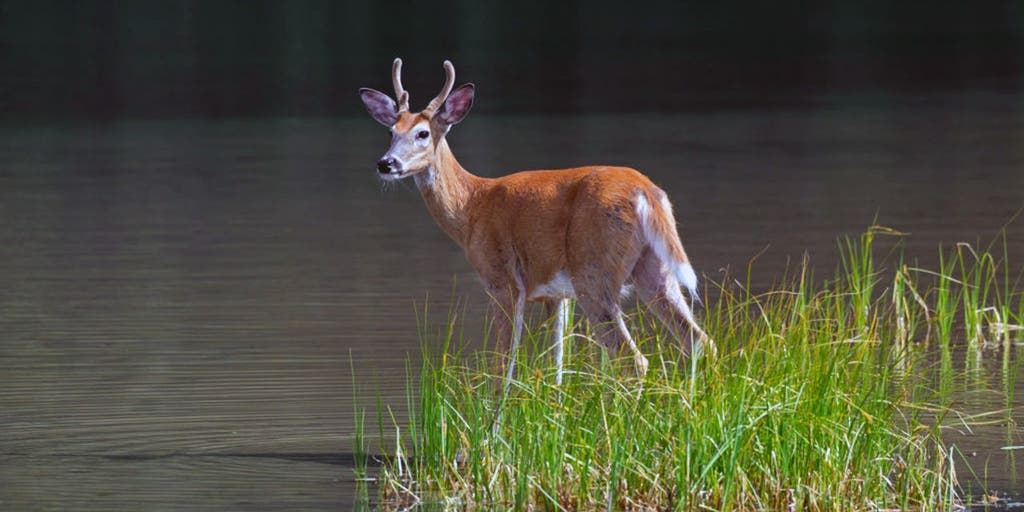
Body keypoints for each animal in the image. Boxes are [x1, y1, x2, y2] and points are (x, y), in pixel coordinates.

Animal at [359, 58, 712, 386]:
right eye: (391, 132)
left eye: (422, 133)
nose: (386, 163)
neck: (472, 207)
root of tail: (646, 192)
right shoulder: (556, 295)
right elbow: (557, 368)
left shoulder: (503, 281)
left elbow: (503, 368)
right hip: (654, 269)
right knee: (698, 340)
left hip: (594, 272)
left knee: (632, 358)